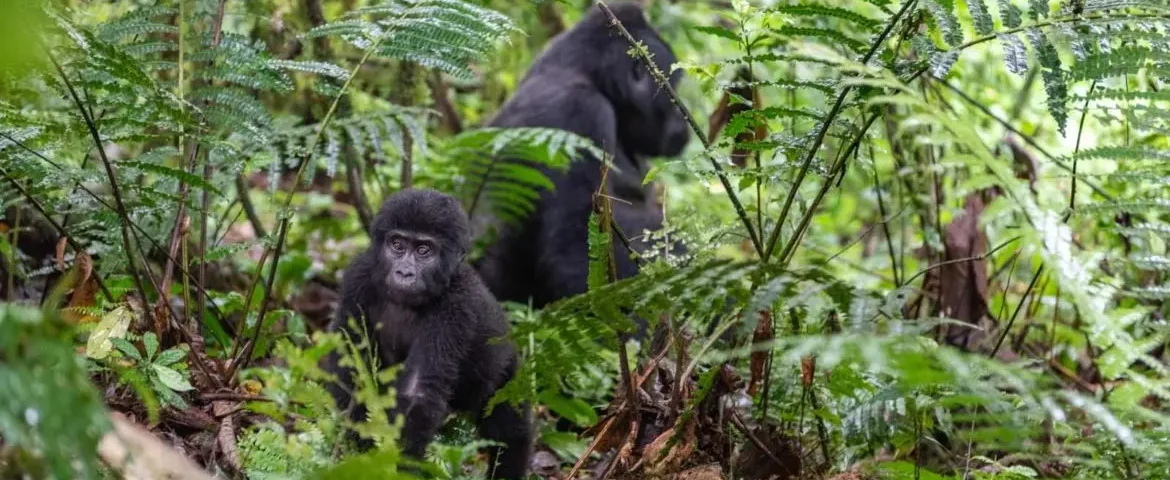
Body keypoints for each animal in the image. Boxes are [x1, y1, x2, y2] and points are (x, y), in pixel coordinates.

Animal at [323, 189, 531, 479]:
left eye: (424, 250)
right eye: (397, 245)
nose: (404, 272)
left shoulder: (456, 305)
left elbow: (417, 393)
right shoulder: (358, 277)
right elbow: (352, 369)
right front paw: (357, 454)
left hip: (508, 367)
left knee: (511, 432)